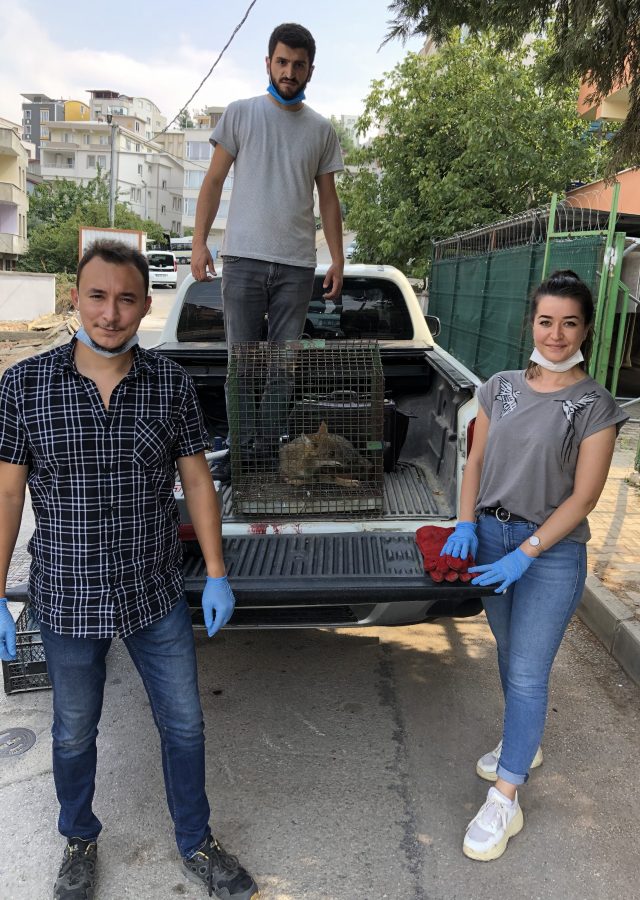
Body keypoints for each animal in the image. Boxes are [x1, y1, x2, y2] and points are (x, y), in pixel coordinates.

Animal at [228, 342, 382, 516]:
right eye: (331, 453)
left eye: (338, 450)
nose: (349, 462)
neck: (309, 464)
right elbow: (301, 479)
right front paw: (296, 481)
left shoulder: (321, 473)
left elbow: (331, 479)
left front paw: (349, 482)